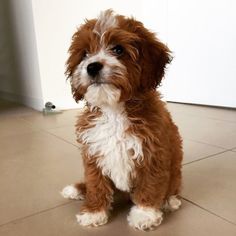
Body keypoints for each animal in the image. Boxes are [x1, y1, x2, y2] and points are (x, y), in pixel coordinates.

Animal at [60, 9, 183, 230]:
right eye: (85, 54)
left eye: (118, 49)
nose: (92, 67)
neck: (114, 110)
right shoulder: (93, 154)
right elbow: (95, 184)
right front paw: (94, 212)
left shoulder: (154, 153)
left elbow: (150, 185)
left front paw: (144, 214)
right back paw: (77, 189)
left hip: (175, 173)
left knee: (172, 187)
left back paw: (170, 201)